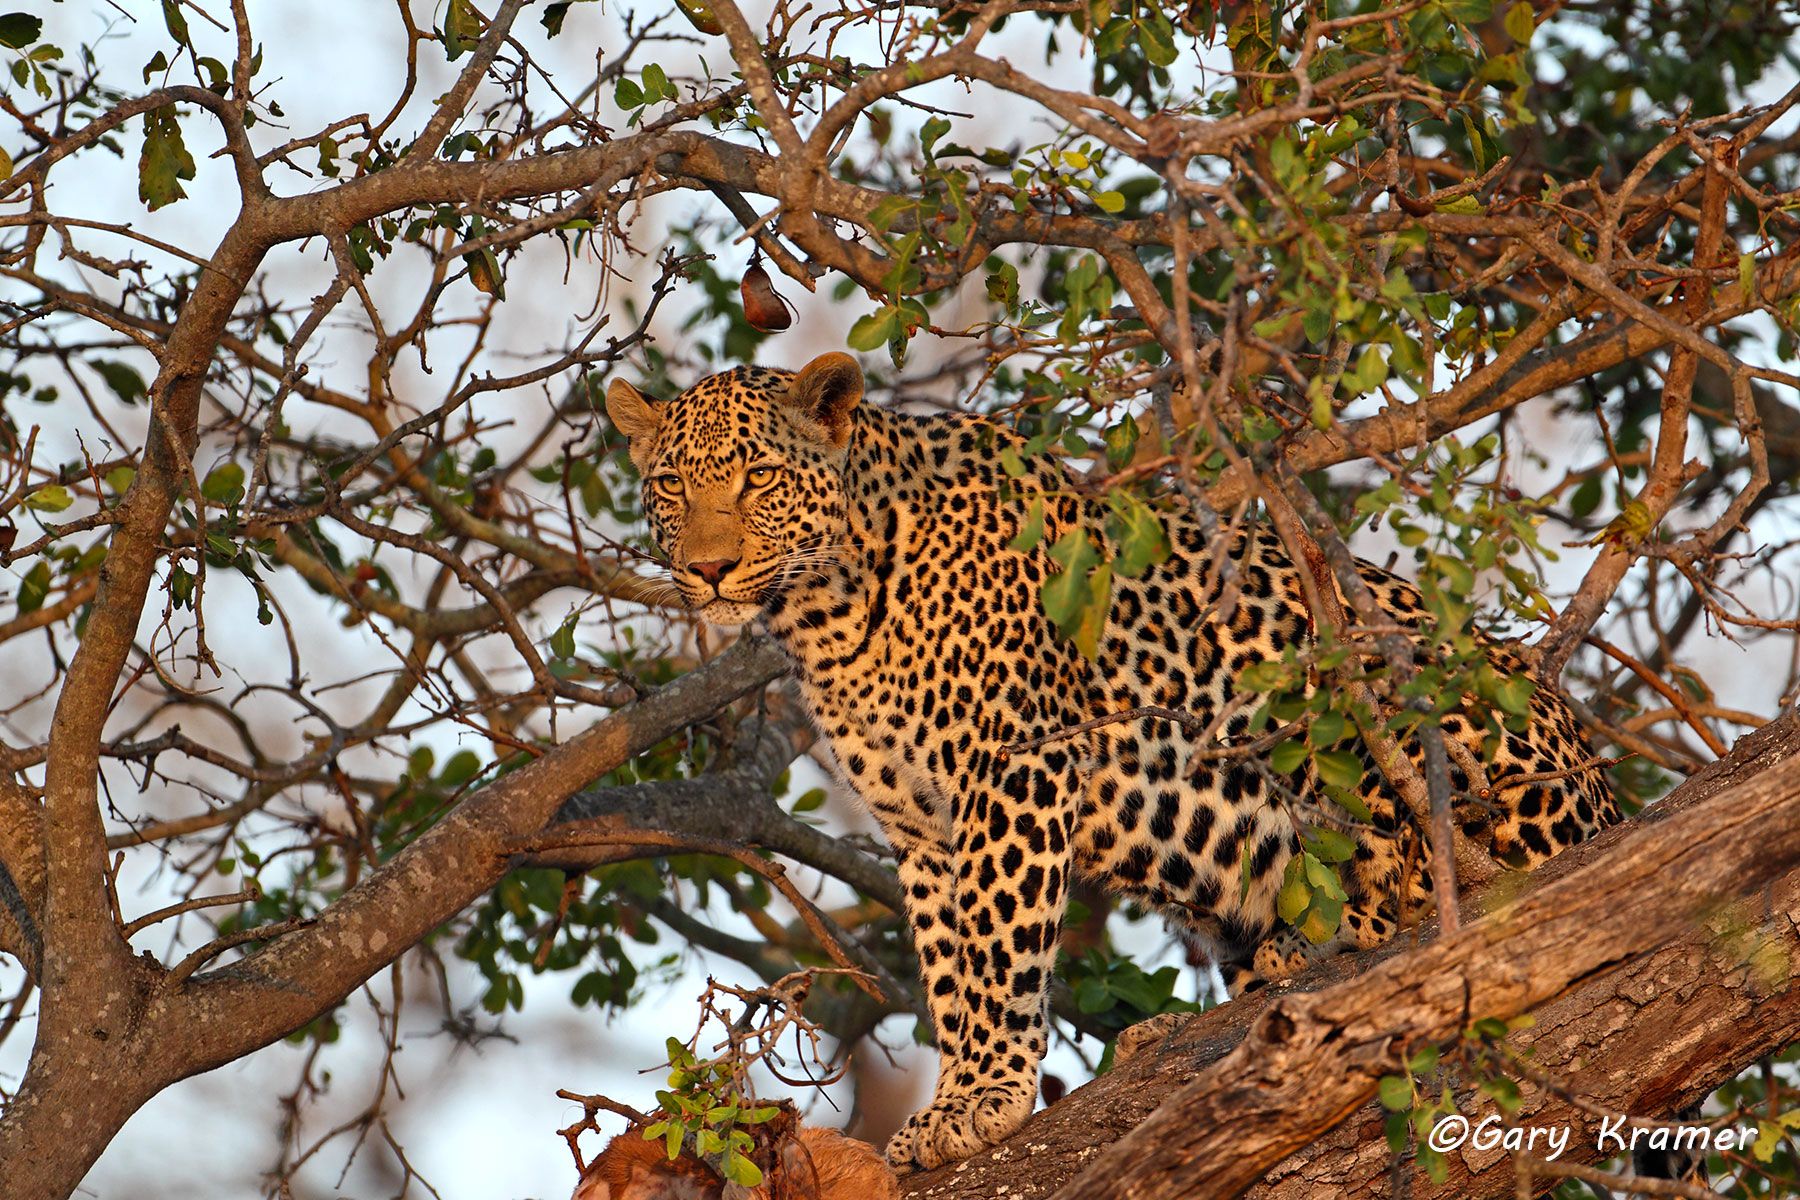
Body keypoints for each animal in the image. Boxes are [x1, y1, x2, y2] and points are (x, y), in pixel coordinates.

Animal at [604, 352, 1618, 1172]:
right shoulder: (920, 826)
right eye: (670, 488)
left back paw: (1315, 949)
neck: (831, 611)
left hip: (1407, 701)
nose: (708, 570)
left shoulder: (1012, 771)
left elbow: (997, 951)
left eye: (760, 478)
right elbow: (948, 970)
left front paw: (987, 1096)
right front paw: (957, 1094)